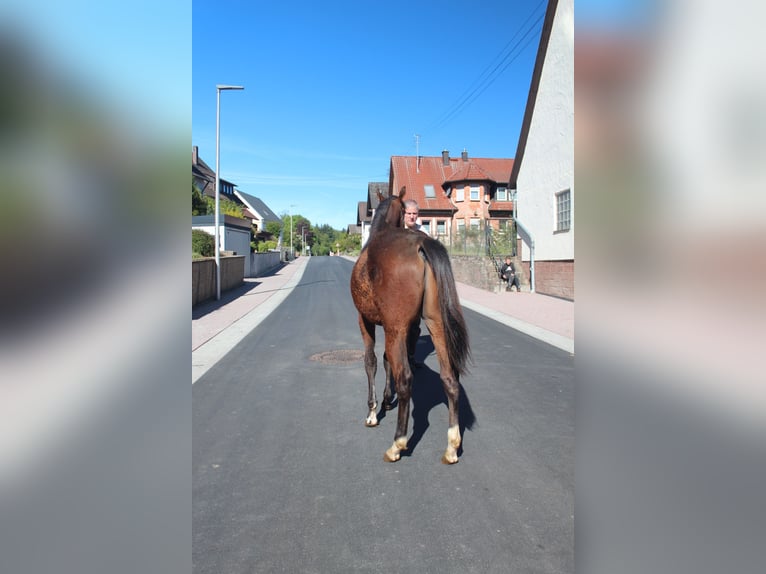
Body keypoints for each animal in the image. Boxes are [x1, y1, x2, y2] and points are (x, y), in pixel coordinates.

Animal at [349, 187, 471, 464]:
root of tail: (421, 245)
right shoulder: (403, 328)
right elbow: (386, 361)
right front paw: (386, 400)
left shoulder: (367, 321)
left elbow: (371, 361)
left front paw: (373, 412)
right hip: (435, 325)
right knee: (450, 379)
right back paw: (452, 447)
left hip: (395, 329)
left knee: (405, 378)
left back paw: (397, 443)